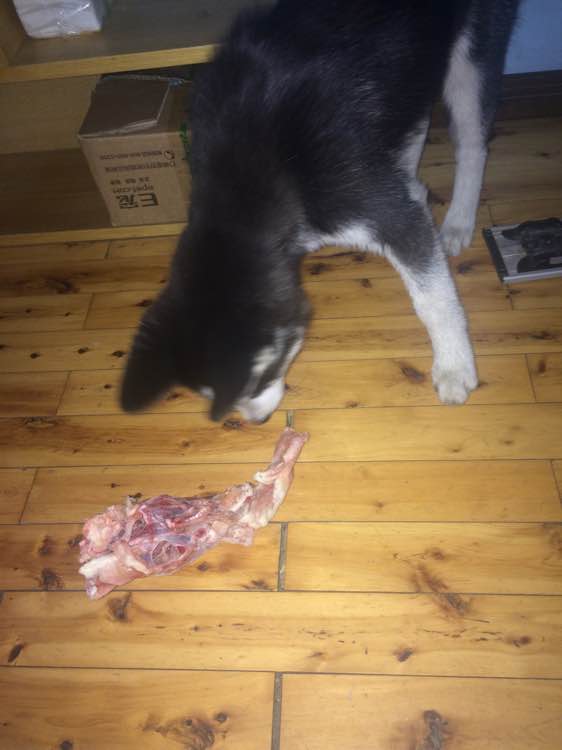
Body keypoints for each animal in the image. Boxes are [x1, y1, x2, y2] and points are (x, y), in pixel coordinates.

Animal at [120, 0, 520, 422]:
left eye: (258, 382)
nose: (258, 421)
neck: (243, 178)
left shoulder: (383, 211)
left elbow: (433, 298)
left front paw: (454, 365)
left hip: (472, 58)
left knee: (473, 143)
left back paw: (459, 219)